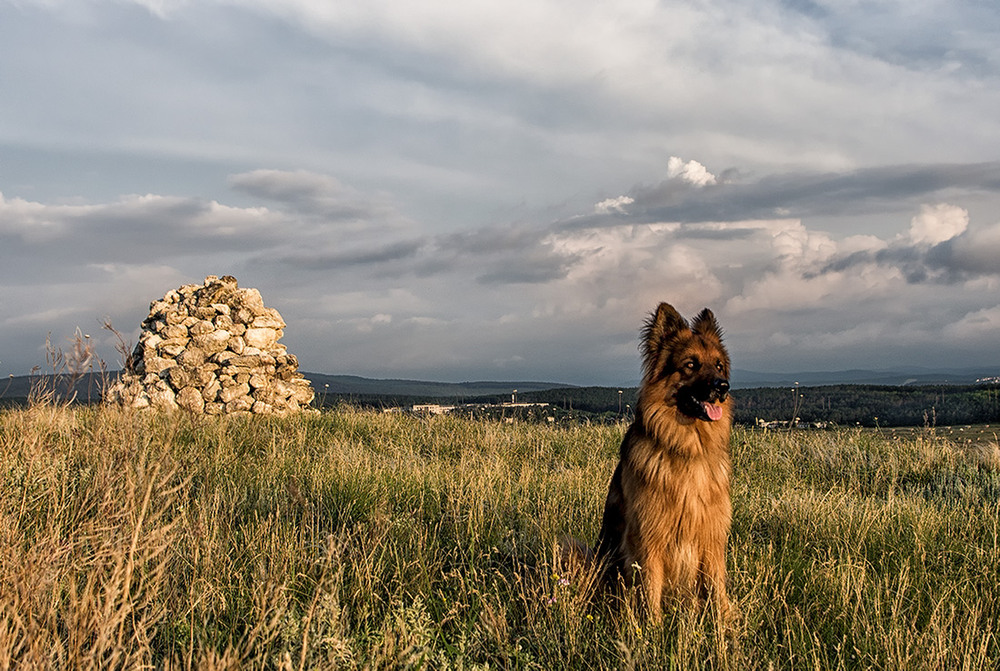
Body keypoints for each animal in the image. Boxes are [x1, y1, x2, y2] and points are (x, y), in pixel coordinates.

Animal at [592, 304, 736, 620]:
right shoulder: (648, 538)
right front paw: (653, 630)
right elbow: (650, 591)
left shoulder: (712, 538)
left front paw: (725, 625)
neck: (688, 449)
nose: (723, 387)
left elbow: (717, 590)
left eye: (719, 365)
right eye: (691, 365)